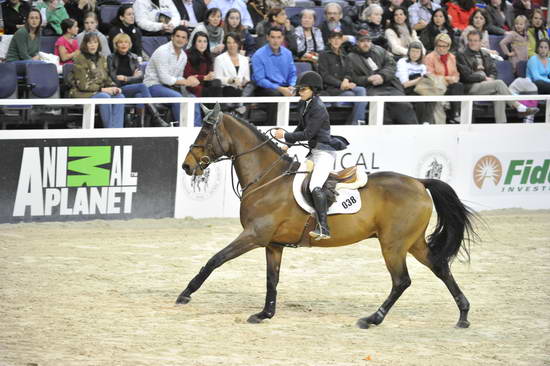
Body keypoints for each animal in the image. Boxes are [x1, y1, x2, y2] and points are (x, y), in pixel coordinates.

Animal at [180, 103, 478, 328]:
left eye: (205, 131)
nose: (186, 166)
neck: (267, 179)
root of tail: (419, 181)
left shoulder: (254, 235)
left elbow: (214, 260)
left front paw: (185, 294)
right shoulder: (273, 244)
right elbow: (271, 280)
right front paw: (265, 314)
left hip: (393, 245)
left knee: (401, 281)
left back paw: (372, 319)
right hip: (412, 242)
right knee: (440, 267)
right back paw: (463, 315)